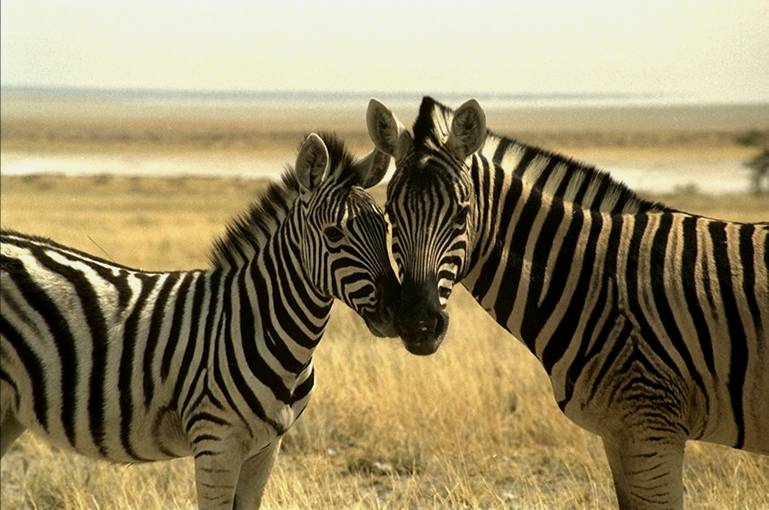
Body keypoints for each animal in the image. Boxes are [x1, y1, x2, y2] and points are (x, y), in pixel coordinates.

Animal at [4, 133, 402, 508]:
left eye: (384, 228)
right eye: (334, 233)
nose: (400, 311)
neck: (261, 321)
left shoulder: (266, 448)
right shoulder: (217, 444)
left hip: (9, 411)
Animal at [366, 96, 768, 510]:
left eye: (462, 213)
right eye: (390, 215)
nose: (418, 324)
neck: (594, 278)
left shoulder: (651, 428)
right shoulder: (619, 433)